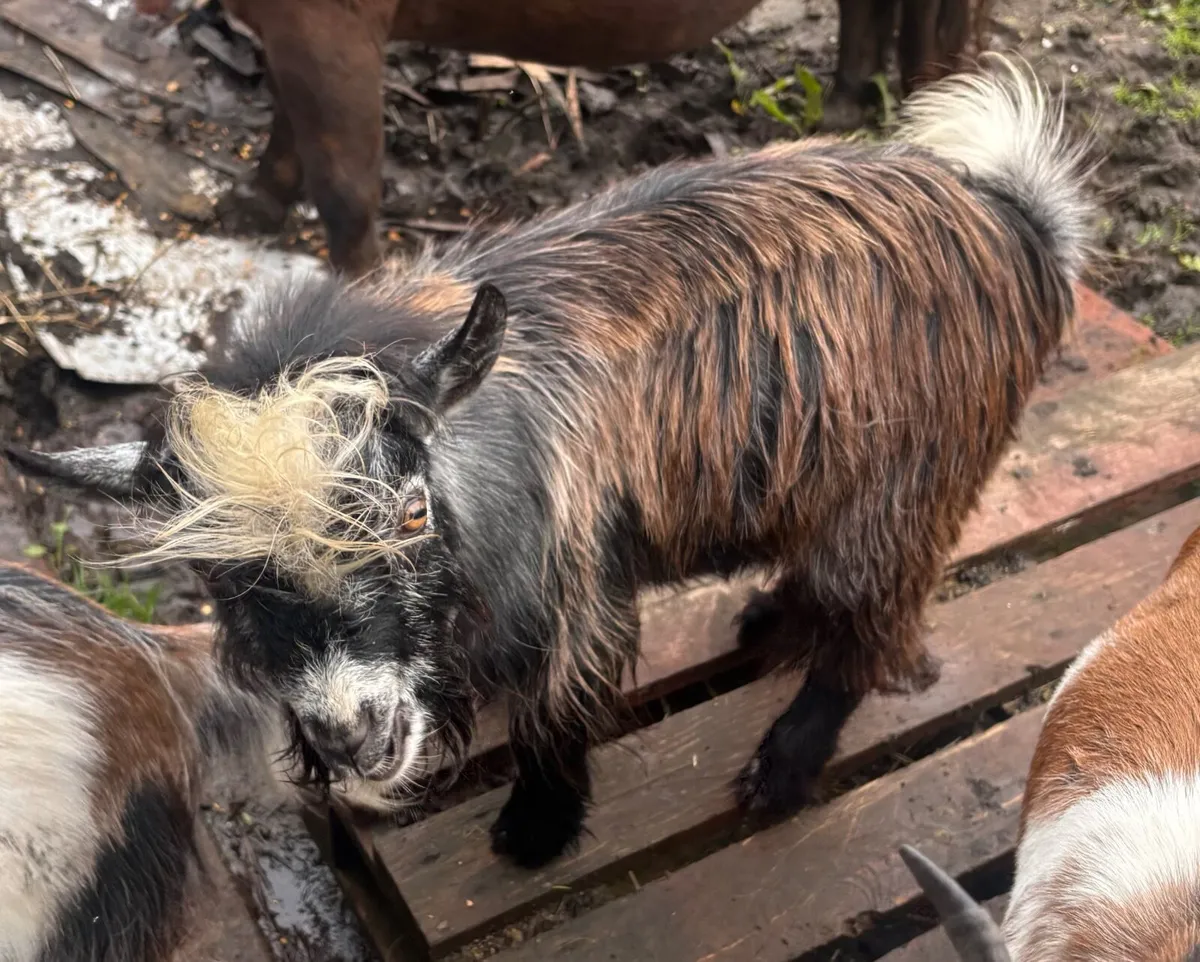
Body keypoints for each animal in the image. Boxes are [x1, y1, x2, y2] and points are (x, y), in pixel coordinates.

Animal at [7, 57, 1091, 870]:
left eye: (412, 511)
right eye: (219, 580)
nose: (354, 734)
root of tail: (1012, 217)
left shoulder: (573, 594)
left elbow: (556, 711)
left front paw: (536, 831)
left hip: (910, 485)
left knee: (870, 626)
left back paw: (781, 768)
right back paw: (767, 616)